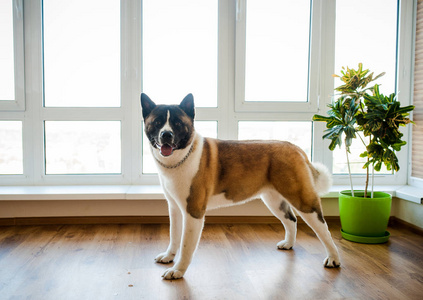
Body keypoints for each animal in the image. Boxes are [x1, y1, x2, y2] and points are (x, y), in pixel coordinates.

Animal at [142, 93, 342, 278]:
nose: (166, 134)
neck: (182, 156)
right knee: (291, 220)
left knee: (324, 229)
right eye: (158, 122)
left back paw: (333, 258)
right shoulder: (174, 208)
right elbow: (174, 236)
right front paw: (169, 256)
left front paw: (177, 270)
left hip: (303, 200)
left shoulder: (193, 213)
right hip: (273, 200)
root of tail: (295, 148)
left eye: (177, 123)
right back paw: (289, 244)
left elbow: (185, 245)